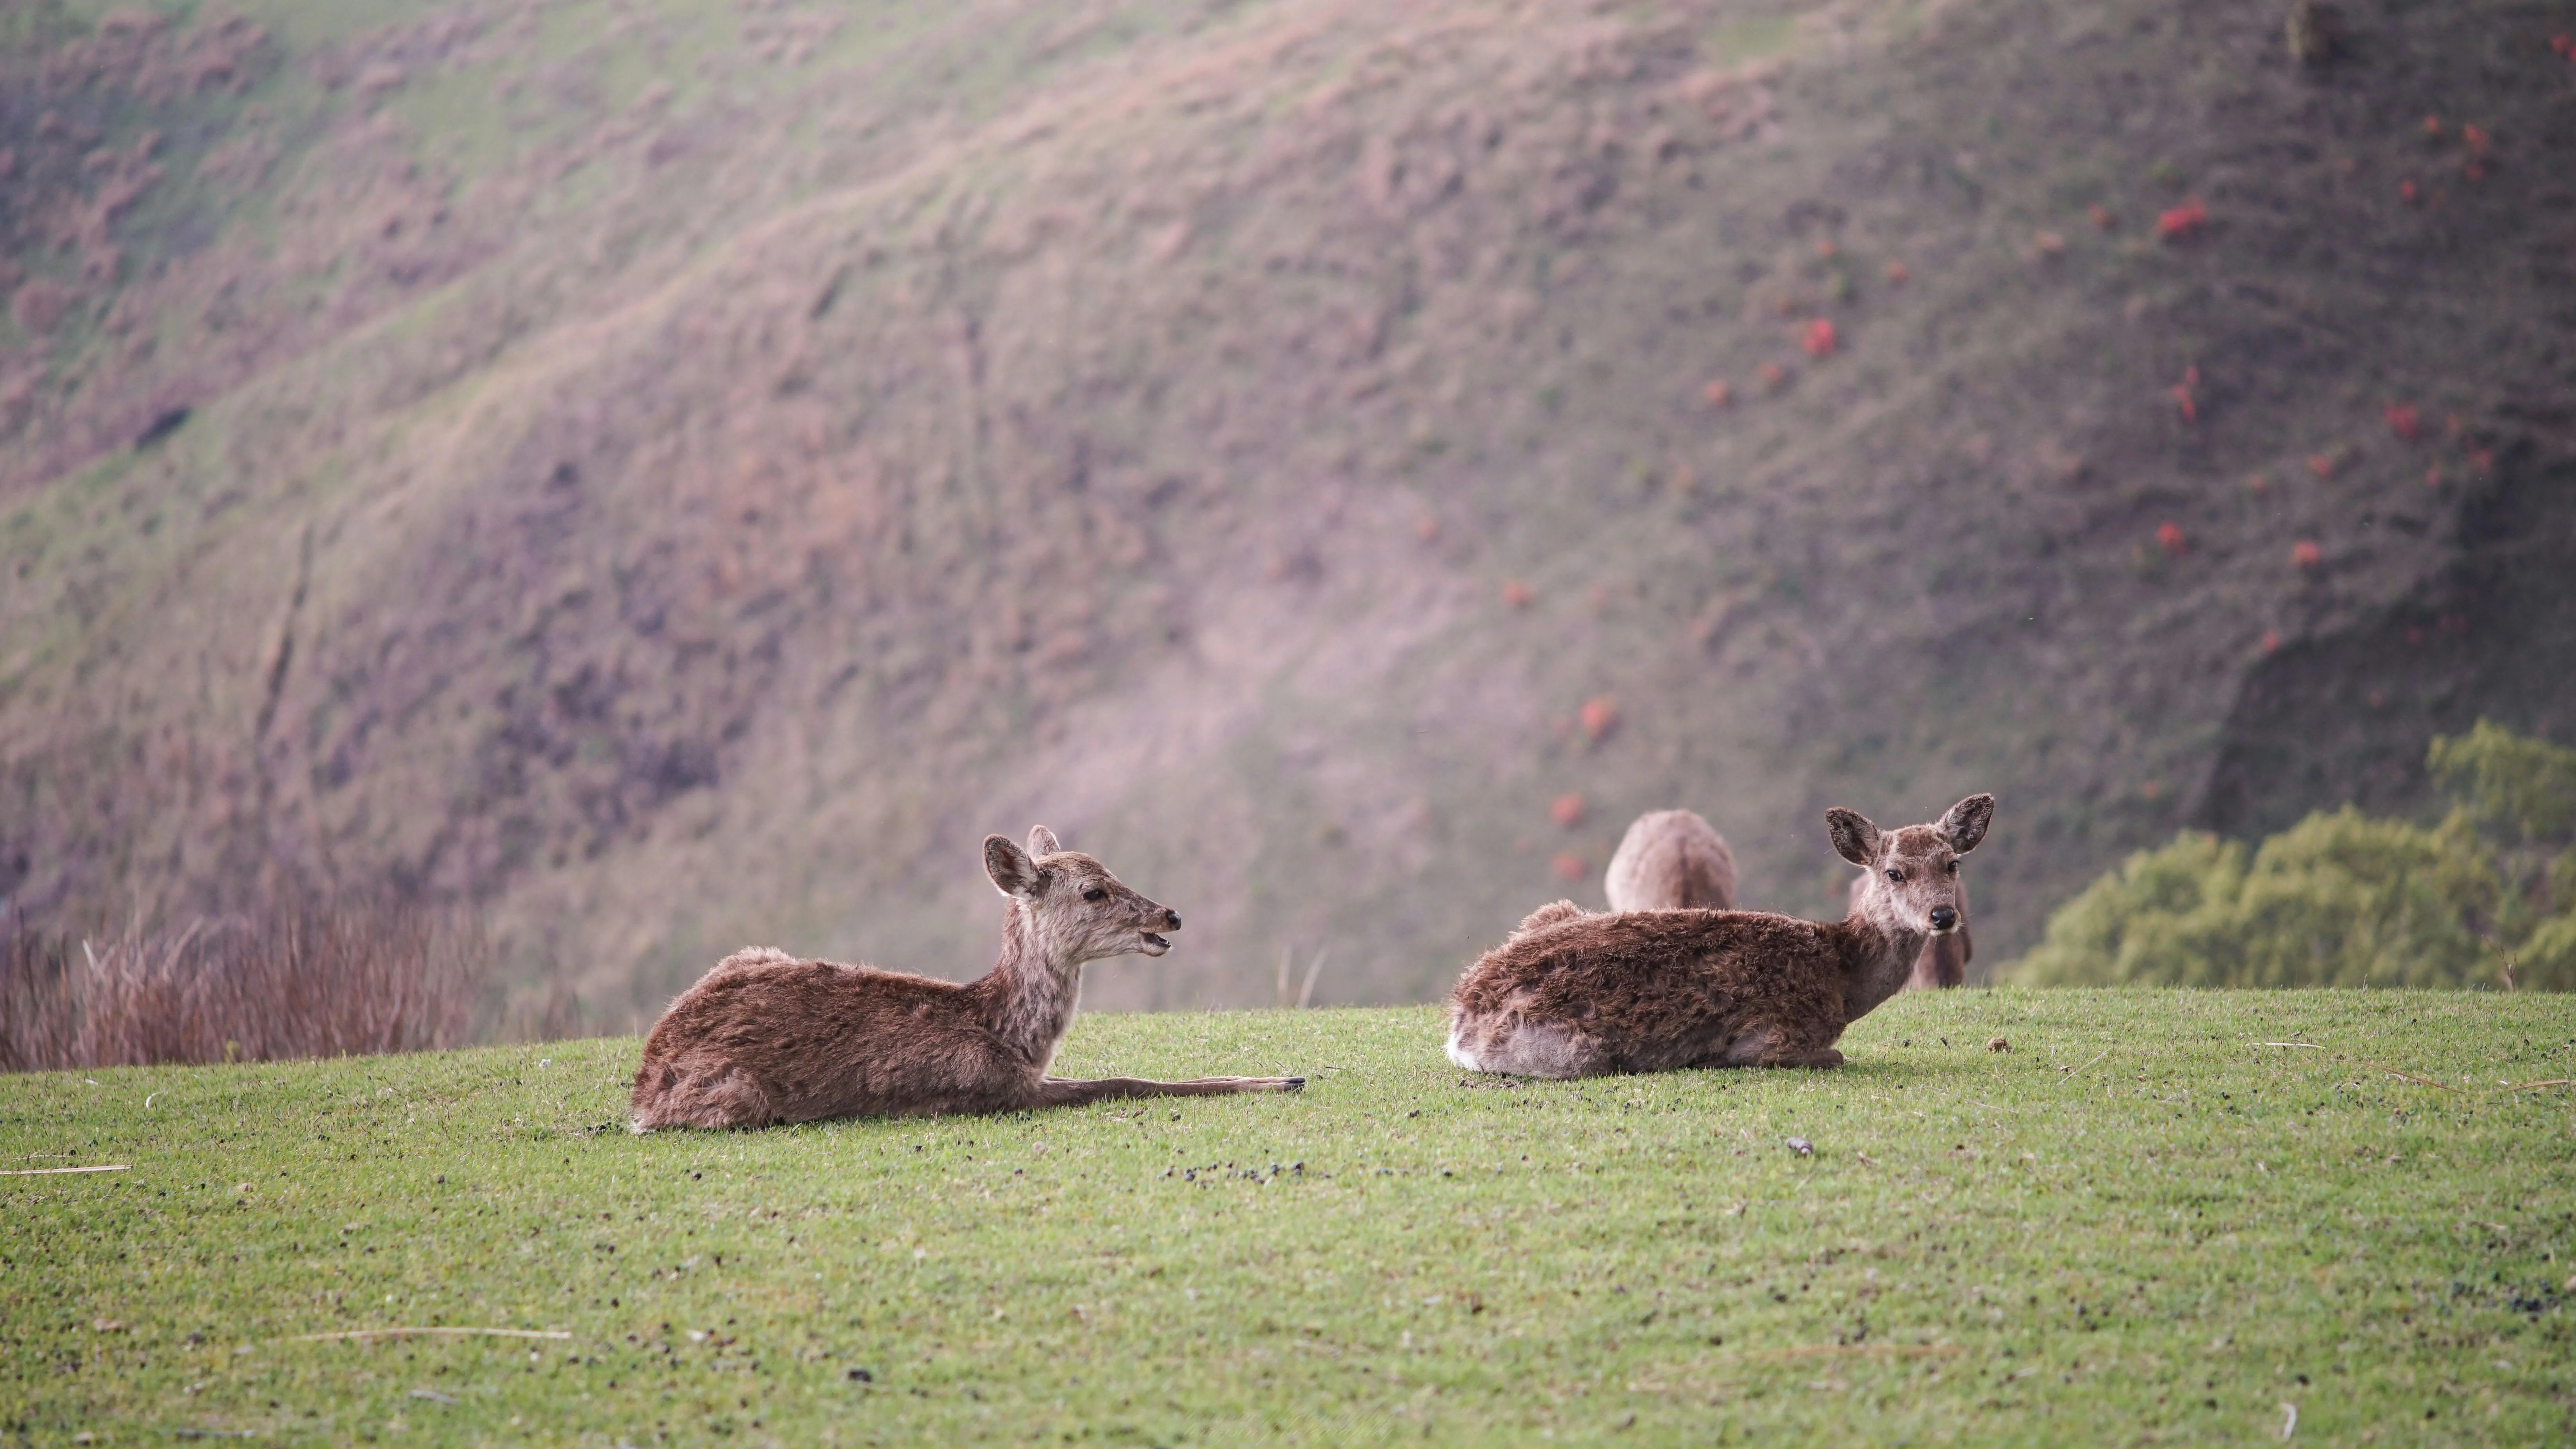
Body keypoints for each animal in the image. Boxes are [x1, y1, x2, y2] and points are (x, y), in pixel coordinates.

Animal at [626, 829, 1308, 1132]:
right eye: (1094, 890)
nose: (1170, 915)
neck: (1008, 1035)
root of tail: (644, 1078)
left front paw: (1289, 1074)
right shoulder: (995, 1091)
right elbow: (1125, 1080)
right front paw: (1280, 1079)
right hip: (735, 1095)